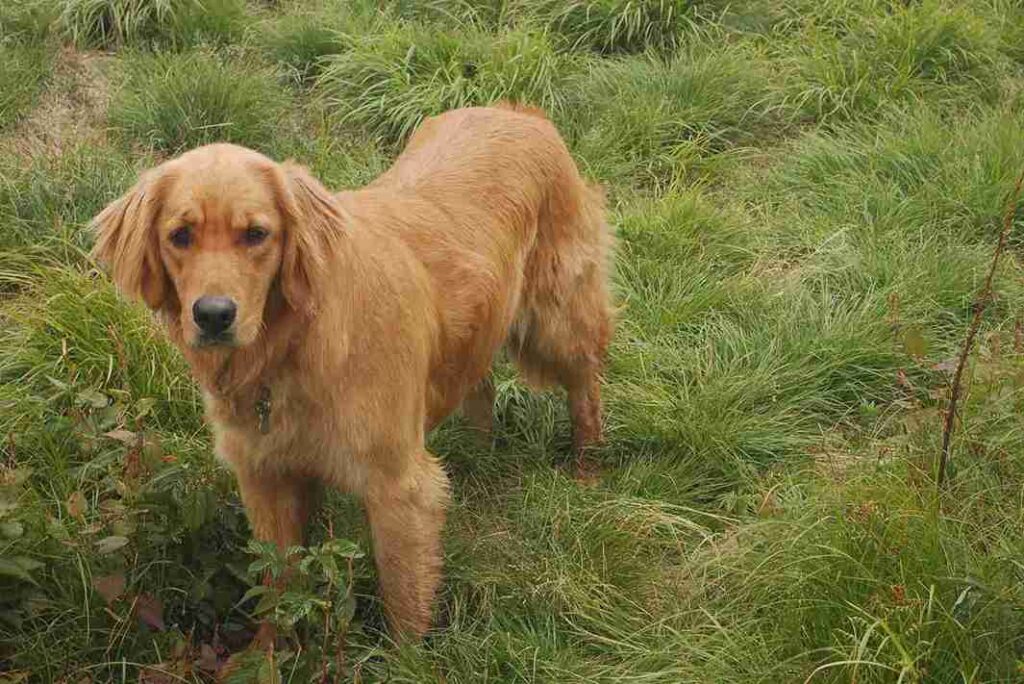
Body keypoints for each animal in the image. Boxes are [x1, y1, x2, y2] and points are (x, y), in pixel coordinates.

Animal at [92, 104, 610, 638]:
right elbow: (278, 588)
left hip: (558, 320)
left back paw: (588, 466)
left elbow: (402, 603)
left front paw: (407, 656)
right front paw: (268, 650)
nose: (214, 315)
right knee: (479, 386)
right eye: (180, 236)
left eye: (256, 234)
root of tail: (514, 108)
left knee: (585, 385)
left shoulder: (398, 488)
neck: (291, 349)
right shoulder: (266, 476)